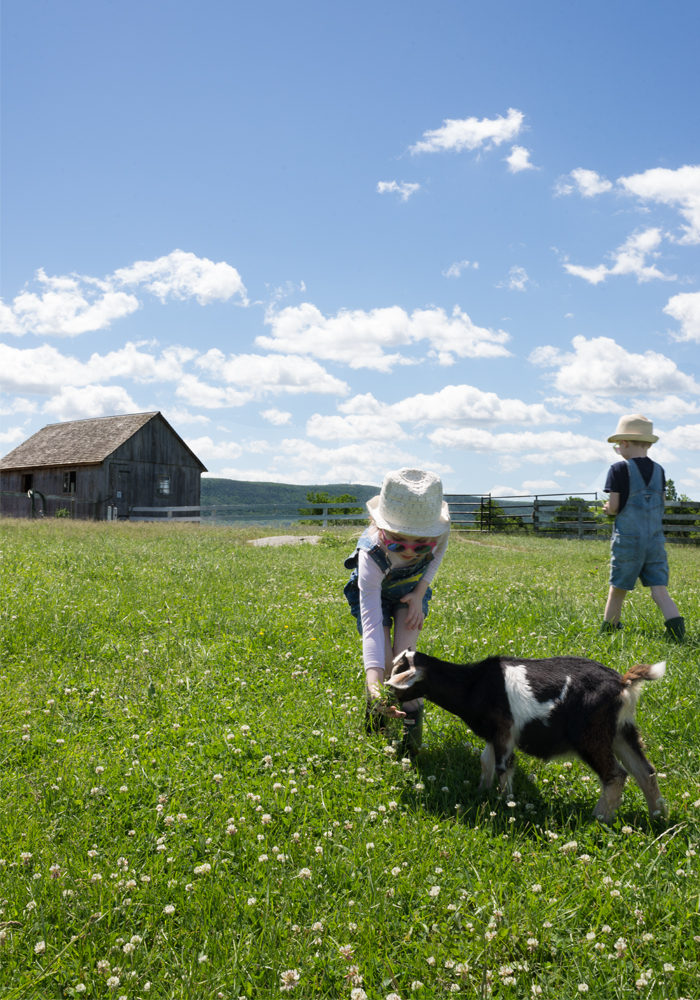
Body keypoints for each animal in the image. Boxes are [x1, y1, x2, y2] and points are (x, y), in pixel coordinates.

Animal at [388, 648, 668, 820]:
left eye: (396, 678)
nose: (387, 697)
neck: (473, 684)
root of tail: (623, 683)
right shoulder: (494, 733)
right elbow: (486, 761)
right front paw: (481, 792)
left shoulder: (504, 730)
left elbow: (504, 767)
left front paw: (506, 804)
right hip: (622, 731)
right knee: (646, 771)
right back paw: (658, 817)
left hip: (591, 735)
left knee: (616, 774)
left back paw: (599, 819)